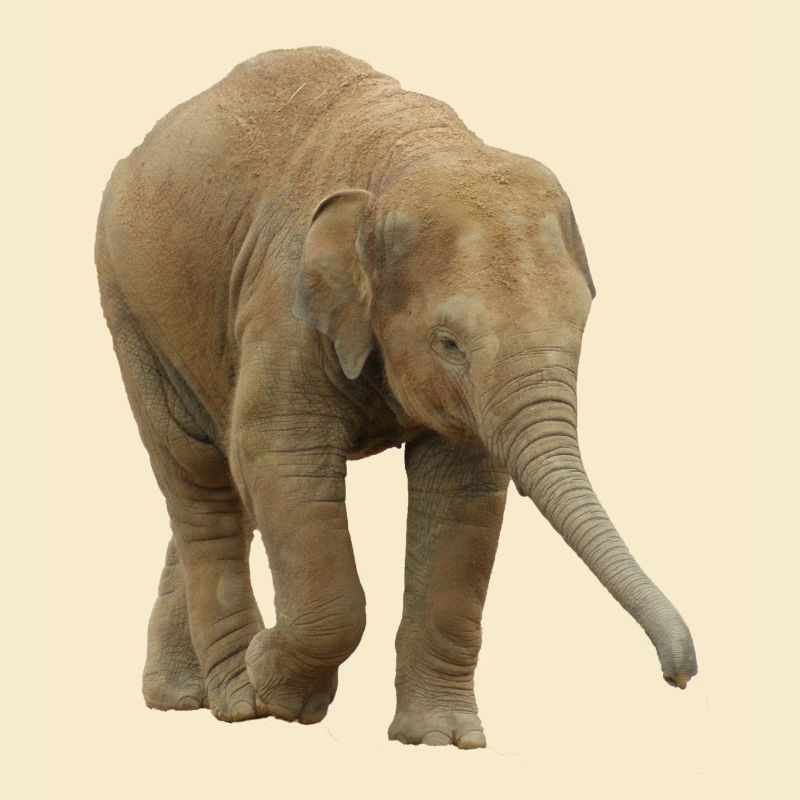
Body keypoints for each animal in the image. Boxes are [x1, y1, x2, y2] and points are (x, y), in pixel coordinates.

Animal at [95, 46, 697, 749]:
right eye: (449, 343)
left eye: (583, 327)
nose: (679, 677)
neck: (414, 155)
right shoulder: (285, 295)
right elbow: (283, 455)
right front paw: (280, 691)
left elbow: (459, 490)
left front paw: (440, 739)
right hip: (129, 303)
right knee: (198, 472)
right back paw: (238, 699)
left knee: (226, 478)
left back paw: (185, 697)